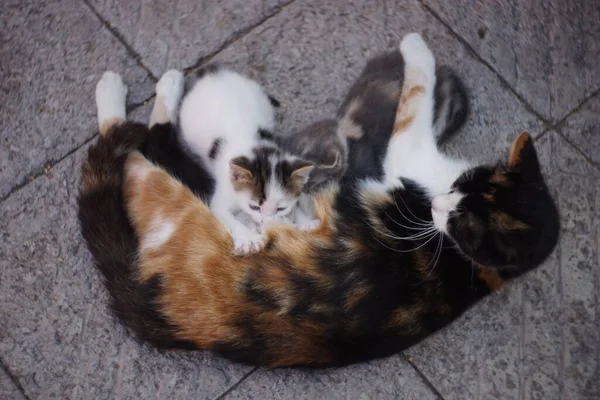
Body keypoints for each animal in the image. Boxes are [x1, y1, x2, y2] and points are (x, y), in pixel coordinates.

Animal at [178, 67, 318, 252]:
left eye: (281, 208)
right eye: (254, 207)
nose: (266, 223)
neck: (254, 147)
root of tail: (214, 74)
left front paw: (306, 223)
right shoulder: (223, 192)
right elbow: (225, 214)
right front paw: (248, 238)